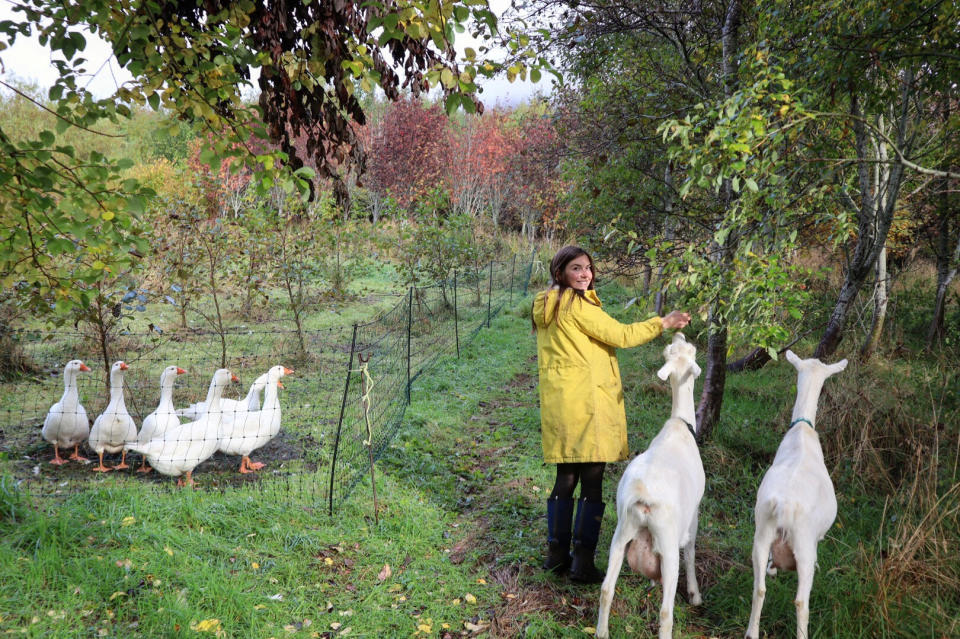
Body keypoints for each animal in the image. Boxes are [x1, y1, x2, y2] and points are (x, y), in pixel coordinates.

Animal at [596, 336, 700, 639]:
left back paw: (601, 632)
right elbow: (691, 550)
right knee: (666, 613)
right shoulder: (695, 512)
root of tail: (644, 498)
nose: (679, 335)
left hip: (621, 534)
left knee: (606, 589)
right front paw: (695, 594)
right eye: (693, 351)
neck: (681, 425)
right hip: (667, 543)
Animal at [744, 350, 848, 639]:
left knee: (759, 589)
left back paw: (752, 631)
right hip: (803, 545)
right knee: (801, 601)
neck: (803, 429)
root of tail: (785, 506)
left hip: (762, 535)